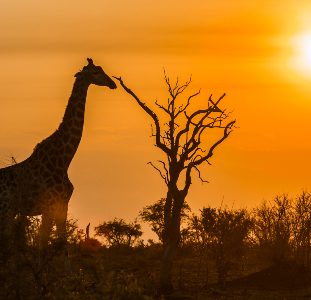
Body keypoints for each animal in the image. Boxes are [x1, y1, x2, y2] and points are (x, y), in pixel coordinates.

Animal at [0, 58, 117, 248]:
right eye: (95, 72)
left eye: (101, 68)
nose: (112, 84)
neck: (64, 160)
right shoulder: (49, 206)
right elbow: (43, 244)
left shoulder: (63, 205)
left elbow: (61, 243)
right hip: (5, 209)